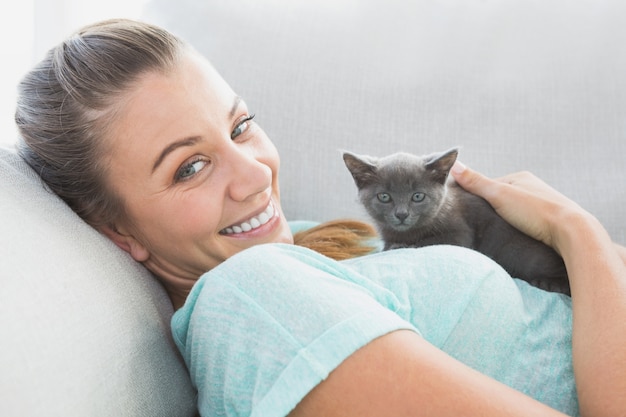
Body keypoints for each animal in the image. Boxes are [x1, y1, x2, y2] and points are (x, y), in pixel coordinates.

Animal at [344, 148, 568, 294]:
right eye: (384, 197)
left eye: (418, 196)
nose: (401, 214)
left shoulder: (460, 234)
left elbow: (427, 242)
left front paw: (401, 246)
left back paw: (551, 283)